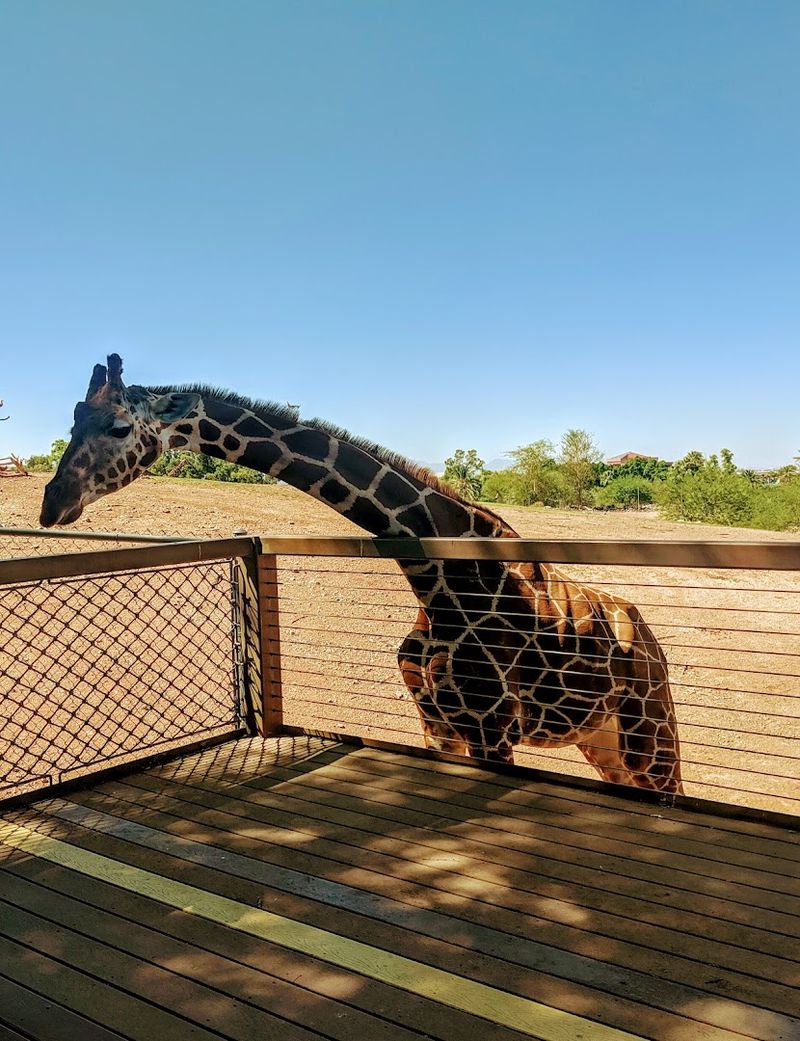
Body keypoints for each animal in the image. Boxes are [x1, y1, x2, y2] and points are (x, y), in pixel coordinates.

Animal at [40, 355, 683, 793]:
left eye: (120, 428)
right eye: (74, 419)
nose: (53, 504)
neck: (436, 576)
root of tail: (648, 639)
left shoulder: (491, 728)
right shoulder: (438, 724)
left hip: (649, 734)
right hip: (600, 739)